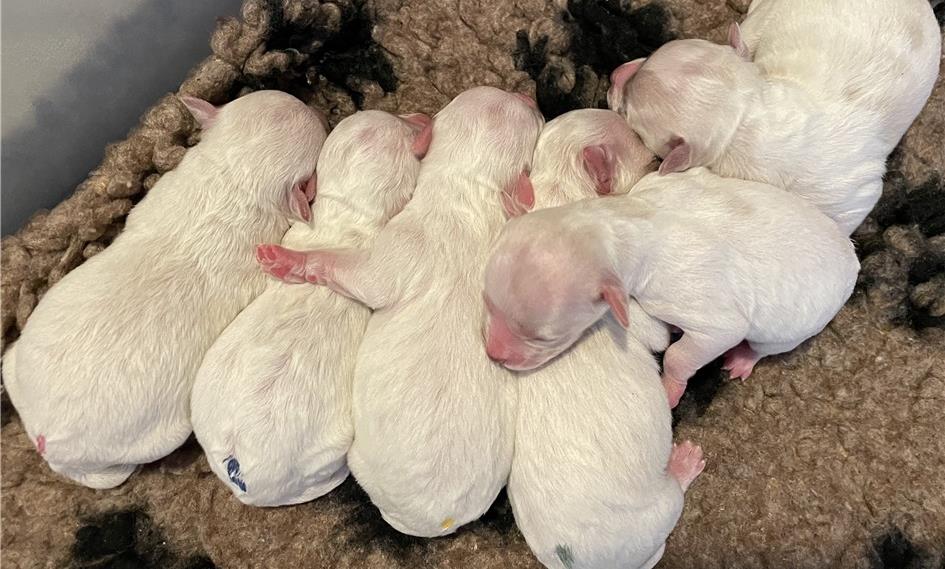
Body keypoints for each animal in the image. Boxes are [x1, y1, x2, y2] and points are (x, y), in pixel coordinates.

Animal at [256, 86, 544, 535]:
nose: (528, 94)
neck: (468, 191)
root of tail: (434, 520)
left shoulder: (404, 240)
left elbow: (367, 279)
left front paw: (290, 262)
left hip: (358, 458)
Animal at [484, 167, 859, 407]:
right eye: (486, 301)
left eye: (545, 338)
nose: (493, 354)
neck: (621, 222)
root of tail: (852, 259)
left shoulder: (696, 303)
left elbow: (692, 346)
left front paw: (671, 388)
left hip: (796, 327)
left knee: (764, 345)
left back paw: (743, 359)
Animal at [486, 109, 705, 569]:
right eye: (647, 155)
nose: (494, 353)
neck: (561, 197)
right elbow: (657, 334)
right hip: (658, 510)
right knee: (674, 499)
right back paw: (684, 464)